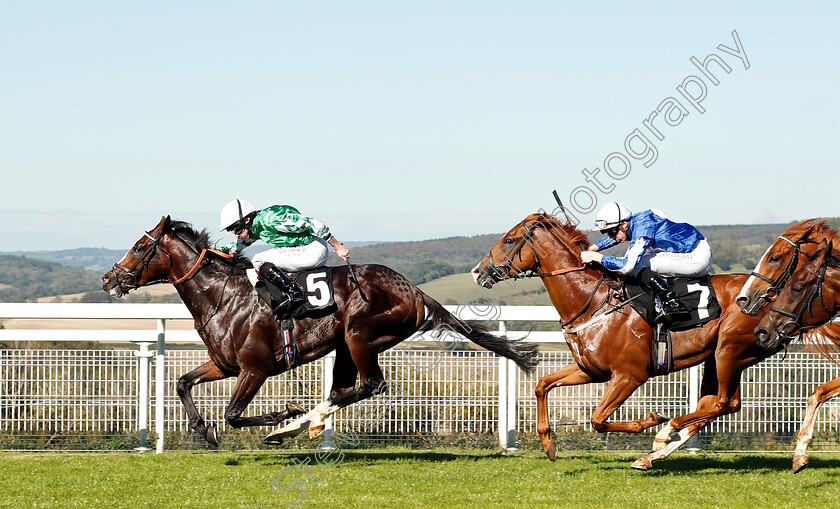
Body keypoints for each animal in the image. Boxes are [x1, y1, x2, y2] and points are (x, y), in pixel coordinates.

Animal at [103, 214, 540, 444]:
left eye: (140, 247)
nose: (110, 279)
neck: (223, 297)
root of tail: (414, 290)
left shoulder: (255, 369)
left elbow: (233, 414)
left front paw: (282, 415)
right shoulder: (225, 365)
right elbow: (182, 383)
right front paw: (203, 431)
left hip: (359, 336)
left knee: (370, 386)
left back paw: (294, 425)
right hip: (345, 345)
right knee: (342, 391)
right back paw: (306, 423)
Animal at [472, 210, 796, 468]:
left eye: (510, 240)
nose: (478, 271)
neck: (595, 302)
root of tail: (774, 295)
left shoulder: (629, 375)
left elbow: (597, 420)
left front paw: (652, 420)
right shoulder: (590, 370)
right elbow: (542, 385)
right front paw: (549, 444)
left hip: (730, 352)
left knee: (723, 404)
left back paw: (664, 433)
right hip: (719, 359)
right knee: (720, 404)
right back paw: (657, 451)